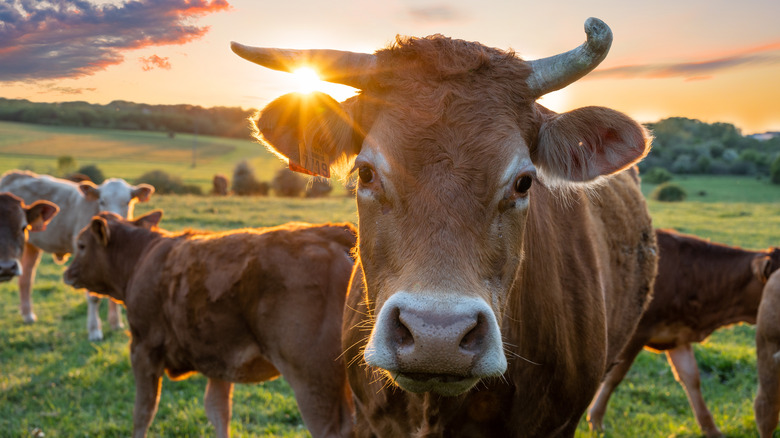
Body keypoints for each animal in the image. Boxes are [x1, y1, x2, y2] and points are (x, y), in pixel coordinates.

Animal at [0, 169, 154, 340]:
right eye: (102, 201)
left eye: (127, 202)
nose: (113, 219)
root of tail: (15, 174)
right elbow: (93, 297)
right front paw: (94, 330)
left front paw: (116, 324)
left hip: (31, 245)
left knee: (26, 278)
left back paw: (28, 315)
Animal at [64, 210, 356, 436]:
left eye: (81, 245)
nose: (67, 272)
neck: (141, 258)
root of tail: (332, 232)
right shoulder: (219, 359)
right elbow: (218, 410)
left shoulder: (143, 349)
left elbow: (143, 412)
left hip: (313, 380)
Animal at [588, 228, 780, 436]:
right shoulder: (636, 333)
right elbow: (614, 376)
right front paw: (596, 420)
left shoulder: (677, 335)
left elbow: (692, 379)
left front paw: (711, 430)